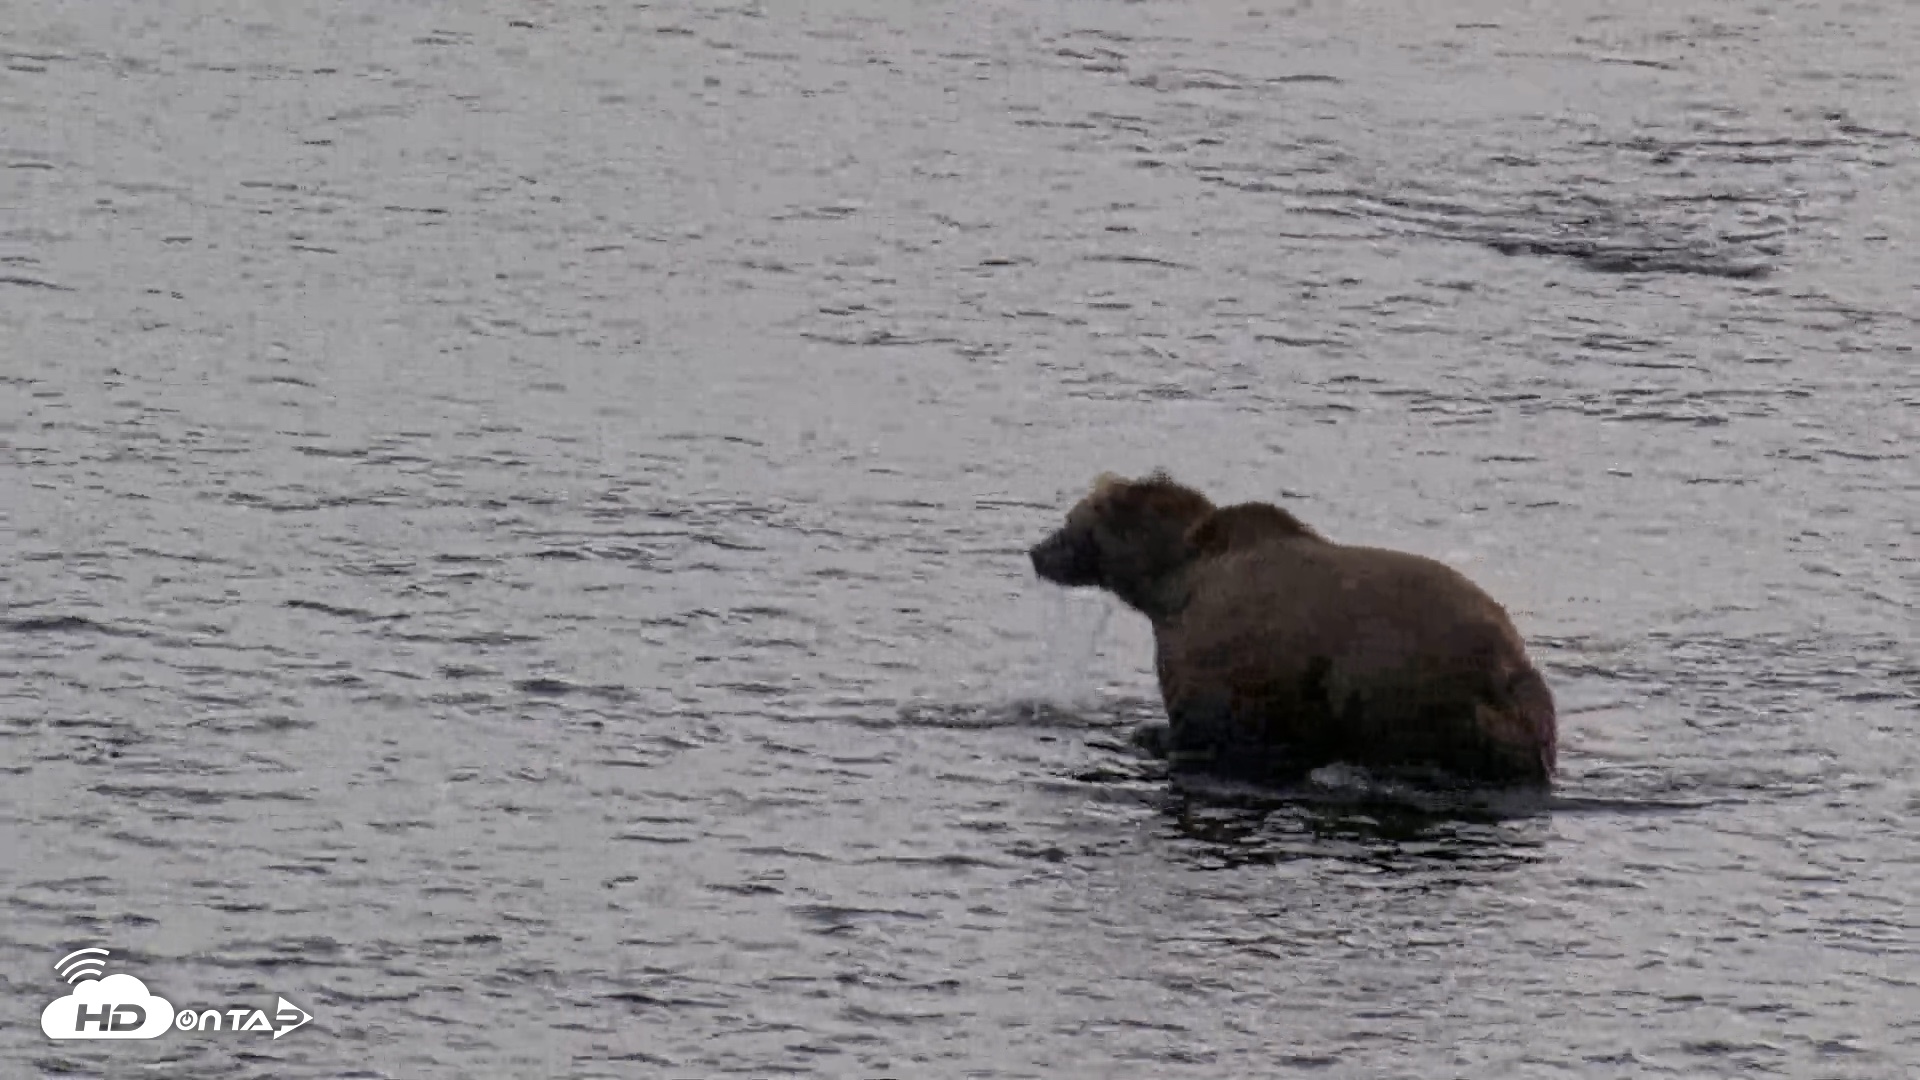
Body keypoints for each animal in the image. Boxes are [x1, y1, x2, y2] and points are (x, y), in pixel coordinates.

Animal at [1028, 471, 1557, 786]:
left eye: (1070, 519)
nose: (1036, 551)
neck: (1170, 583)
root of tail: (1505, 667)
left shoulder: (1218, 651)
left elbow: (1206, 721)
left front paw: (1150, 733)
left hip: (1405, 678)